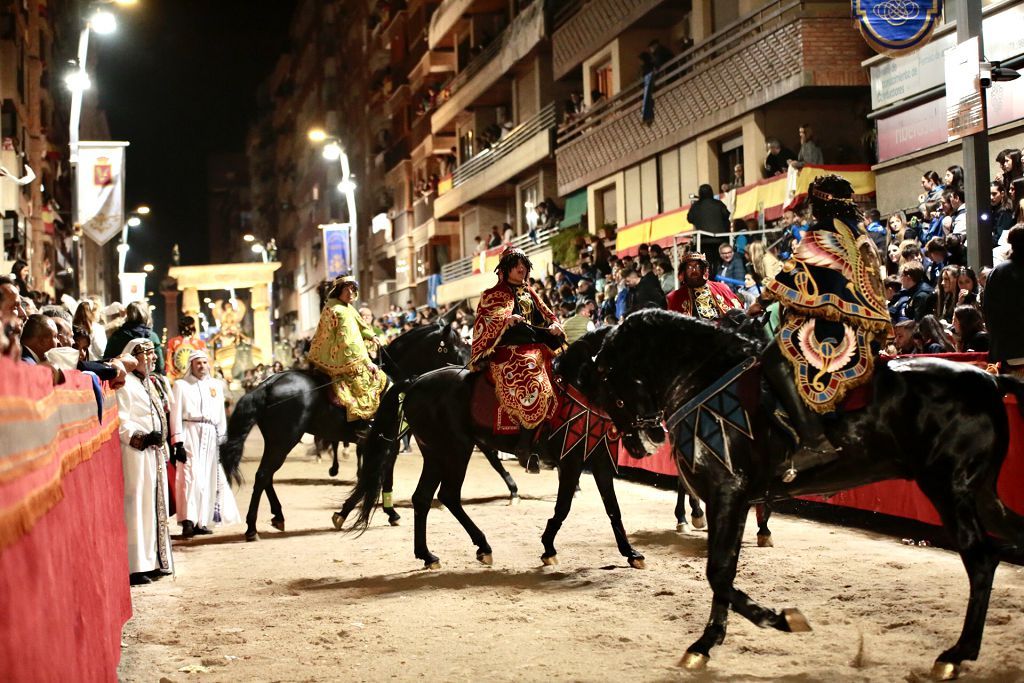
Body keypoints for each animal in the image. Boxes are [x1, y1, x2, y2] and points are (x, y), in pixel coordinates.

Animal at [219, 309, 516, 540]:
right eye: (455, 344)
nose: (474, 365)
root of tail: (267, 384)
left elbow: (374, 474)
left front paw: (362, 510)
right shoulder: (389, 441)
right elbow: (382, 474)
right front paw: (379, 511)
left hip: (278, 440)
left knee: (267, 475)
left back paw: (277, 516)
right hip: (285, 439)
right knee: (262, 475)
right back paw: (252, 528)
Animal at [342, 327, 655, 569]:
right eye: (630, 379)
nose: (654, 431)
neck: (578, 390)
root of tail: (415, 381)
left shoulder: (598, 459)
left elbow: (613, 508)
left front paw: (631, 552)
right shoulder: (571, 461)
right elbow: (564, 507)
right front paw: (548, 547)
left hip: (436, 453)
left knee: (422, 498)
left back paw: (428, 555)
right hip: (456, 450)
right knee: (448, 495)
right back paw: (482, 546)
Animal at [593, 311, 1024, 679]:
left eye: (613, 385)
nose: (638, 443)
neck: (704, 380)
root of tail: (989, 381)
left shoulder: (727, 493)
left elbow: (717, 571)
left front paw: (780, 620)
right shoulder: (732, 500)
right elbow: (723, 572)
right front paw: (706, 643)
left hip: (950, 488)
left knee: (981, 560)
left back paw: (956, 654)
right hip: (982, 493)